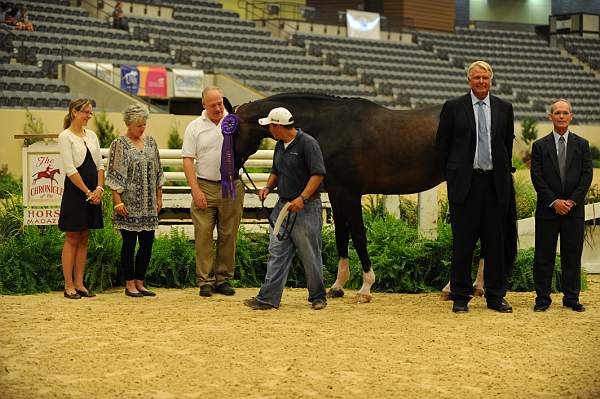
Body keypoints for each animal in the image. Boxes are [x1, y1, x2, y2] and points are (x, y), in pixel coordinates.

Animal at [234, 92, 446, 302]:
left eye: (232, 130)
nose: (233, 166)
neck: (331, 126)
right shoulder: (337, 194)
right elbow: (341, 236)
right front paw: (337, 286)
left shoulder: (350, 194)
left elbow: (359, 236)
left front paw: (366, 288)